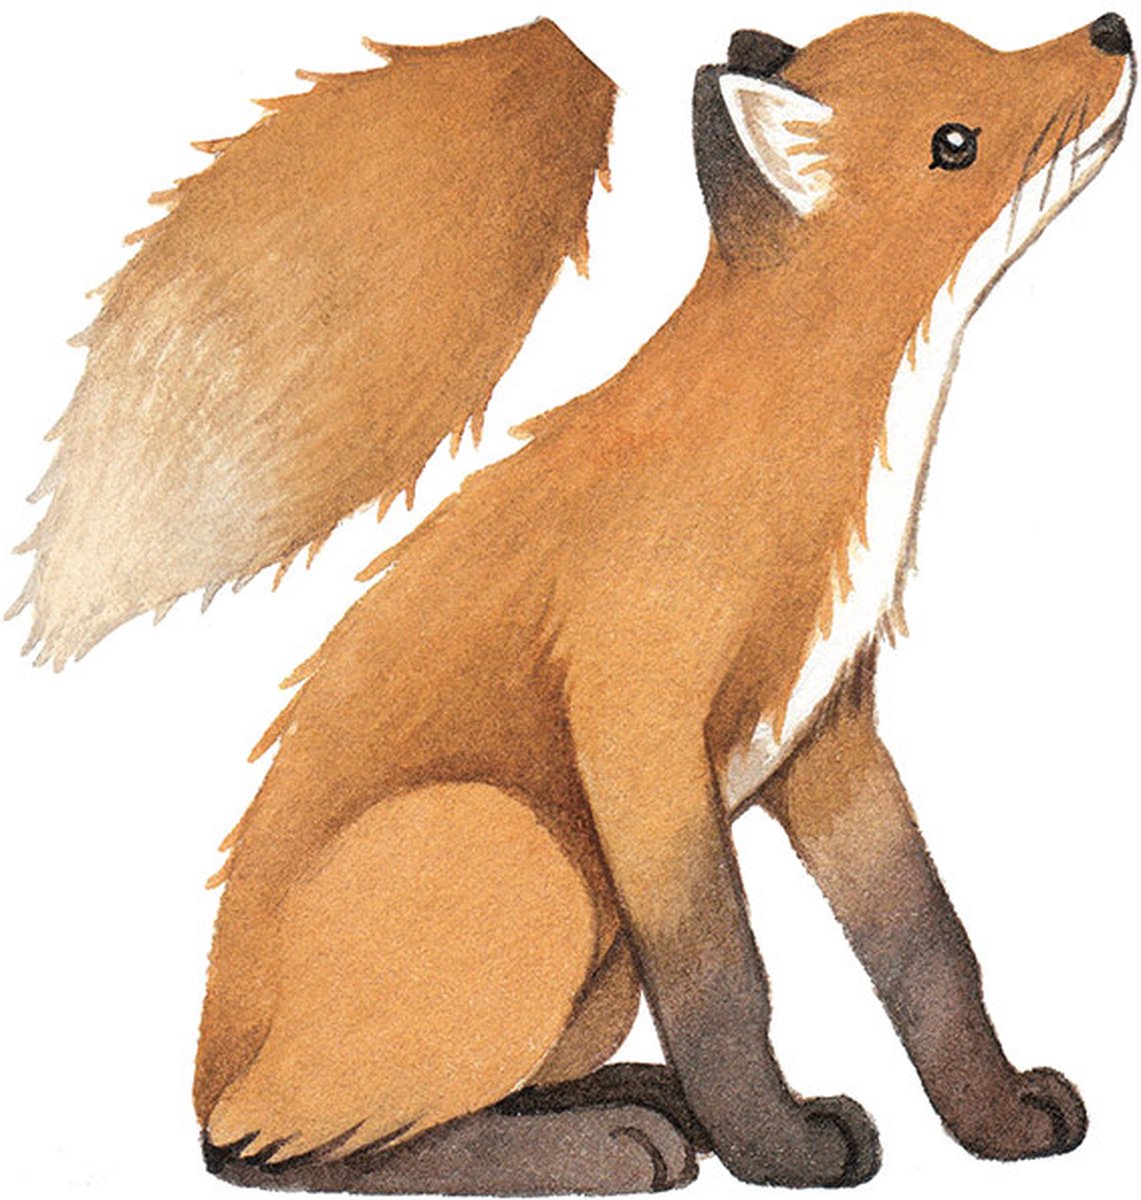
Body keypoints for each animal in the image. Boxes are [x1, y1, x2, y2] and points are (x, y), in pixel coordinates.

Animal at [8, 8, 1136, 1195]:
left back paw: (637, 1103)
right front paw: (779, 1148)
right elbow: (723, 979)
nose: (1109, 30)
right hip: (520, 855)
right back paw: (605, 1144)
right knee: (281, 1153)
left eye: (987, 47)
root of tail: (205, 1070)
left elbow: (927, 951)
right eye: (954, 142)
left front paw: (996, 1119)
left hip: (591, 966)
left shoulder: (827, 728)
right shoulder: (637, 722)